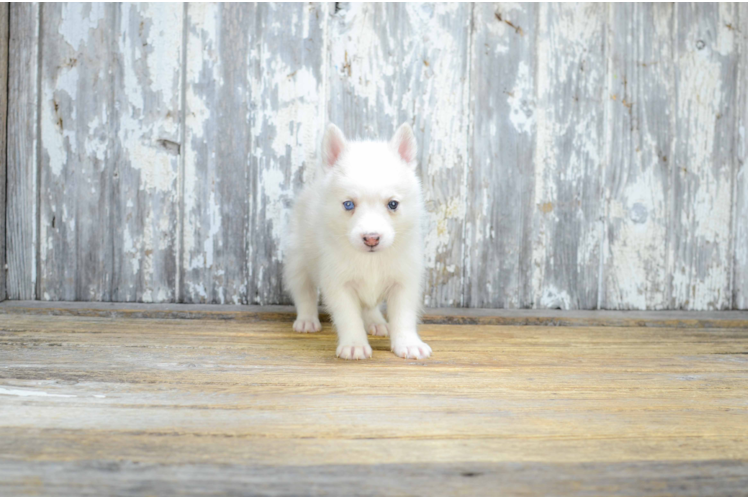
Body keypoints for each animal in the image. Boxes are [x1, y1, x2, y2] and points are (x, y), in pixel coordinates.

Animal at [284, 123, 430, 362]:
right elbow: (349, 317)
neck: (370, 260)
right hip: (298, 261)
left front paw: (408, 343)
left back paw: (376, 322)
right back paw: (306, 320)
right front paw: (354, 345)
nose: (371, 238)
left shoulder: (404, 282)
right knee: (304, 292)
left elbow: (404, 317)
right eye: (348, 204)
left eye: (393, 204)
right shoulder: (338, 283)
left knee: (369, 306)